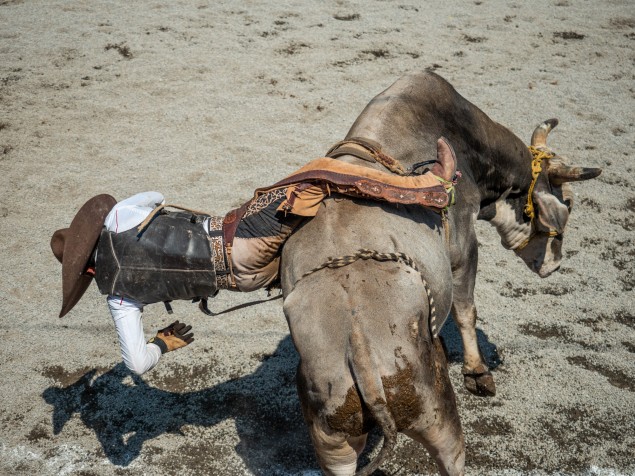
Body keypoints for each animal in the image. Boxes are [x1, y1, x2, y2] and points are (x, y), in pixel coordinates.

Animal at [278, 71, 600, 476]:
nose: (554, 265)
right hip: (438, 418)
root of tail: (358, 347)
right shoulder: (463, 248)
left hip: (334, 442)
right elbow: (465, 311)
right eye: (568, 201)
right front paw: (478, 373)